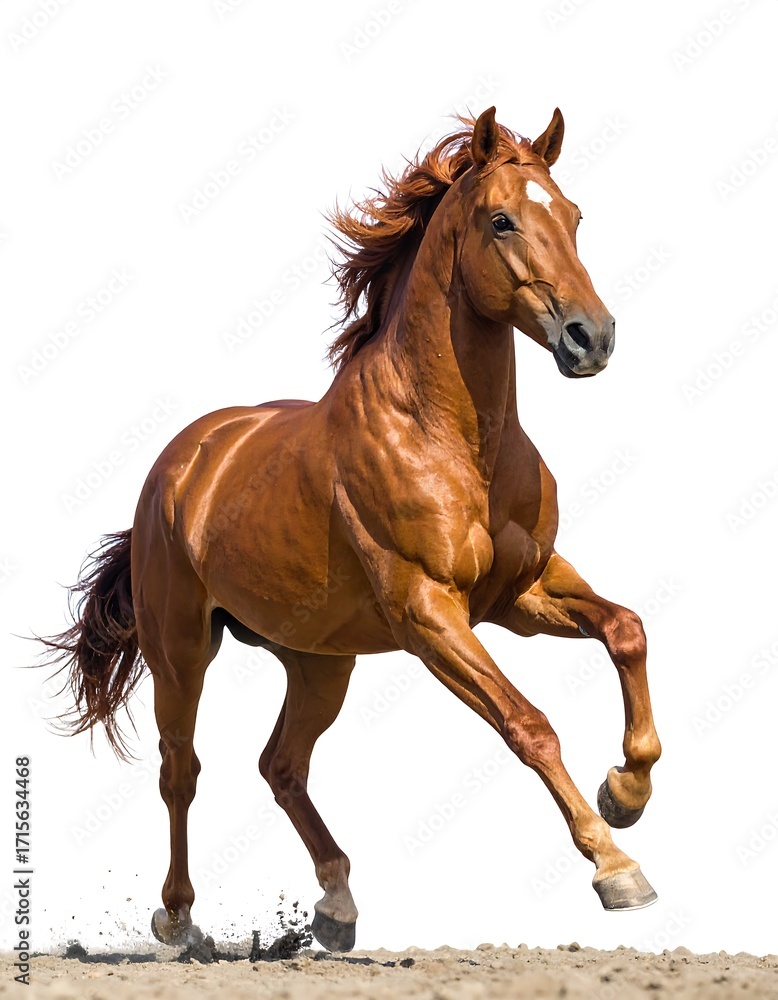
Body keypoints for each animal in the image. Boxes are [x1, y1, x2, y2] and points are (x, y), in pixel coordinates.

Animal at [42, 106, 661, 953]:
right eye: (502, 220)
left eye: (573, 216)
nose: (590, 337)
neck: (449, 438)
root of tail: (187, 458)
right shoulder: (429, 613)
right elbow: (528, 724)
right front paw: (616, 867)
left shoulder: (522, 592)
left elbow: (626, 629)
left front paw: (624, 793)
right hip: (181, 648)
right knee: (181, 771)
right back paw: (180, 920)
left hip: (318, 661)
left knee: (281, 766)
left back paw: (335, 907)